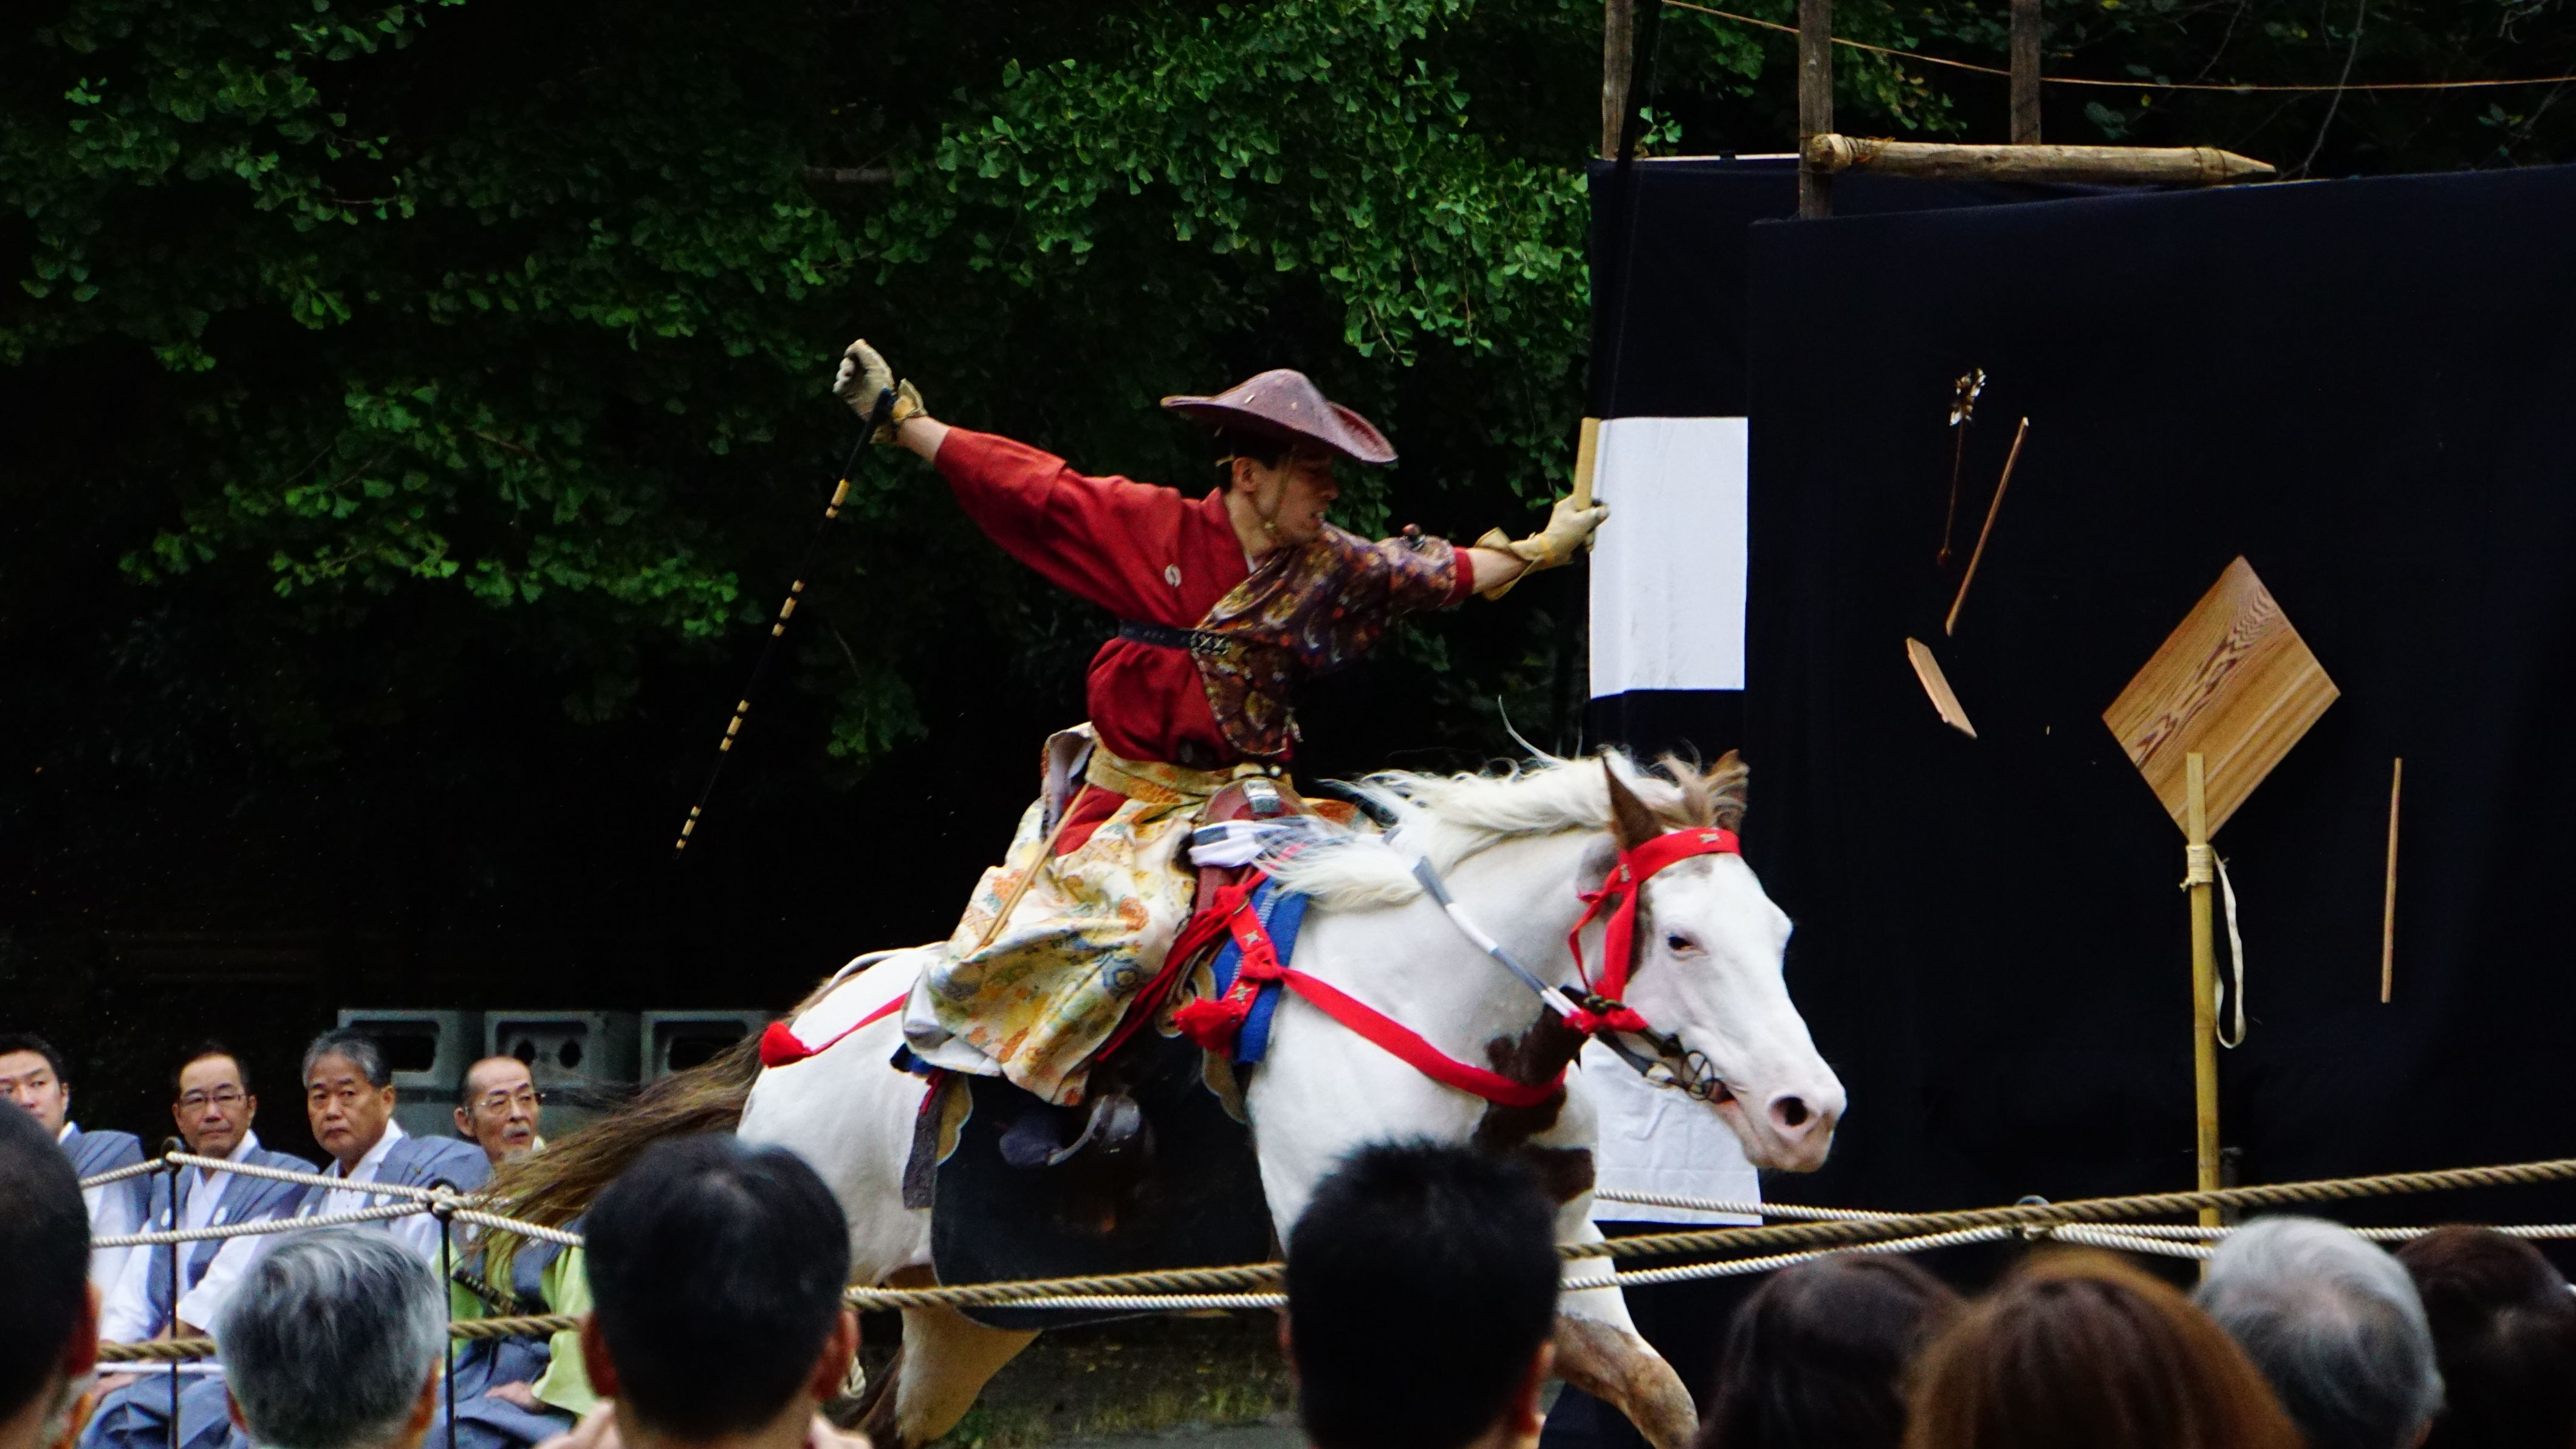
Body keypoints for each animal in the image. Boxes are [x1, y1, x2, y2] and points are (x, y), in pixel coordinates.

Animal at [489, 750, 1844, 1449]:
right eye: (1679, 938)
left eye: (1780, 930)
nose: (1806, 1109)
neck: (1436, 1009)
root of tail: (798, 1034)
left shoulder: (1568, 1249)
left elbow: (1661, 1395)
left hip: (962, 1316)